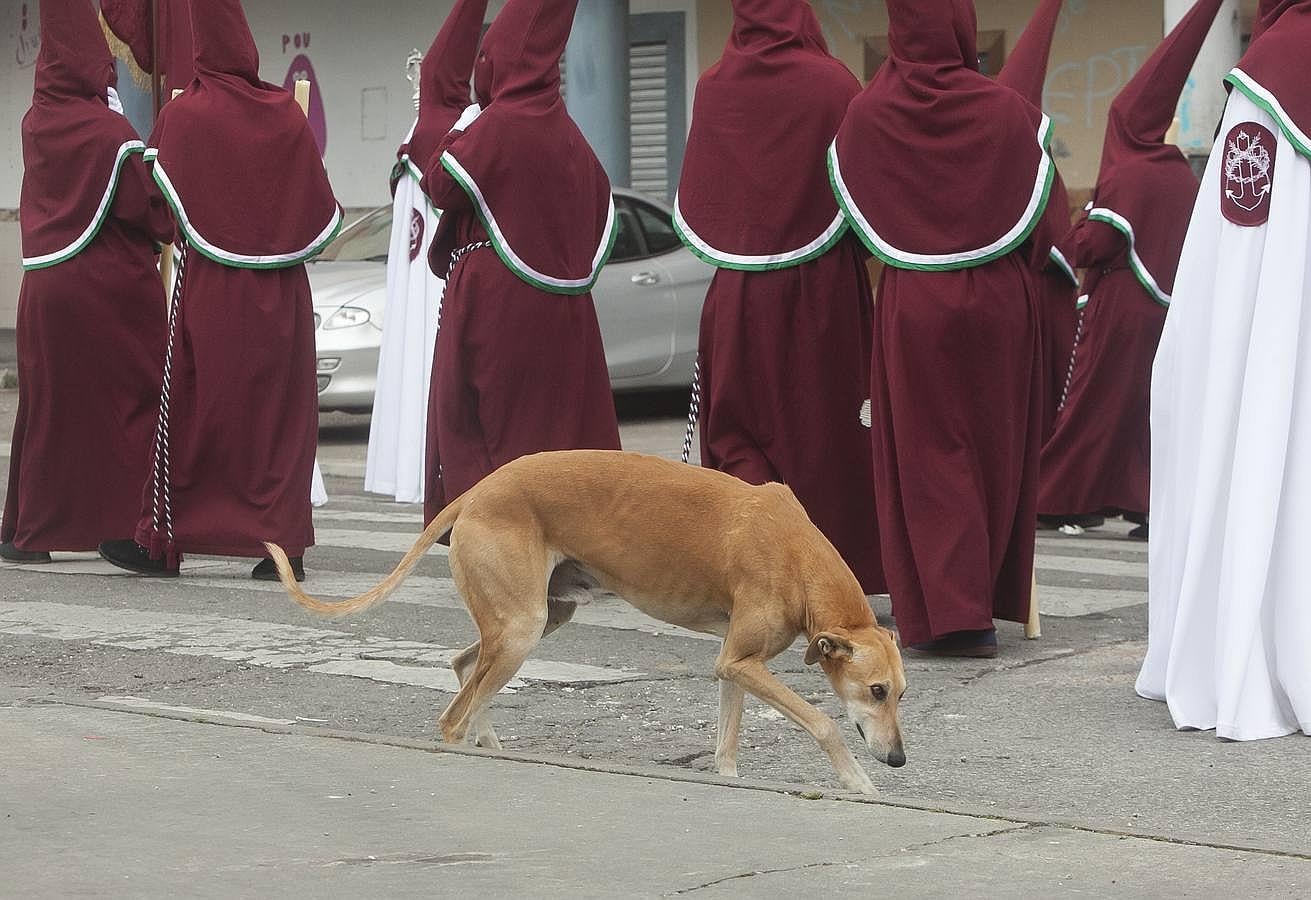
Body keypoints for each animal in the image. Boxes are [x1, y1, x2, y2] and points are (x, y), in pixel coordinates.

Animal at [266, 451, 901, 797]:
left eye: (901, 693)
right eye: (875, 691)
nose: (898, 758)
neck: (794, 551)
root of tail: (475, 492)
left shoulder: (736, 663)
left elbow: (727, 738)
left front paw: (727, 775)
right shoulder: (744, 661)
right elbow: (823, 722)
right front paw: (859, 782)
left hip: (537, 620)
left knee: (465, 665)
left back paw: (491, 740)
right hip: (522, 629)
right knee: (452, 718)